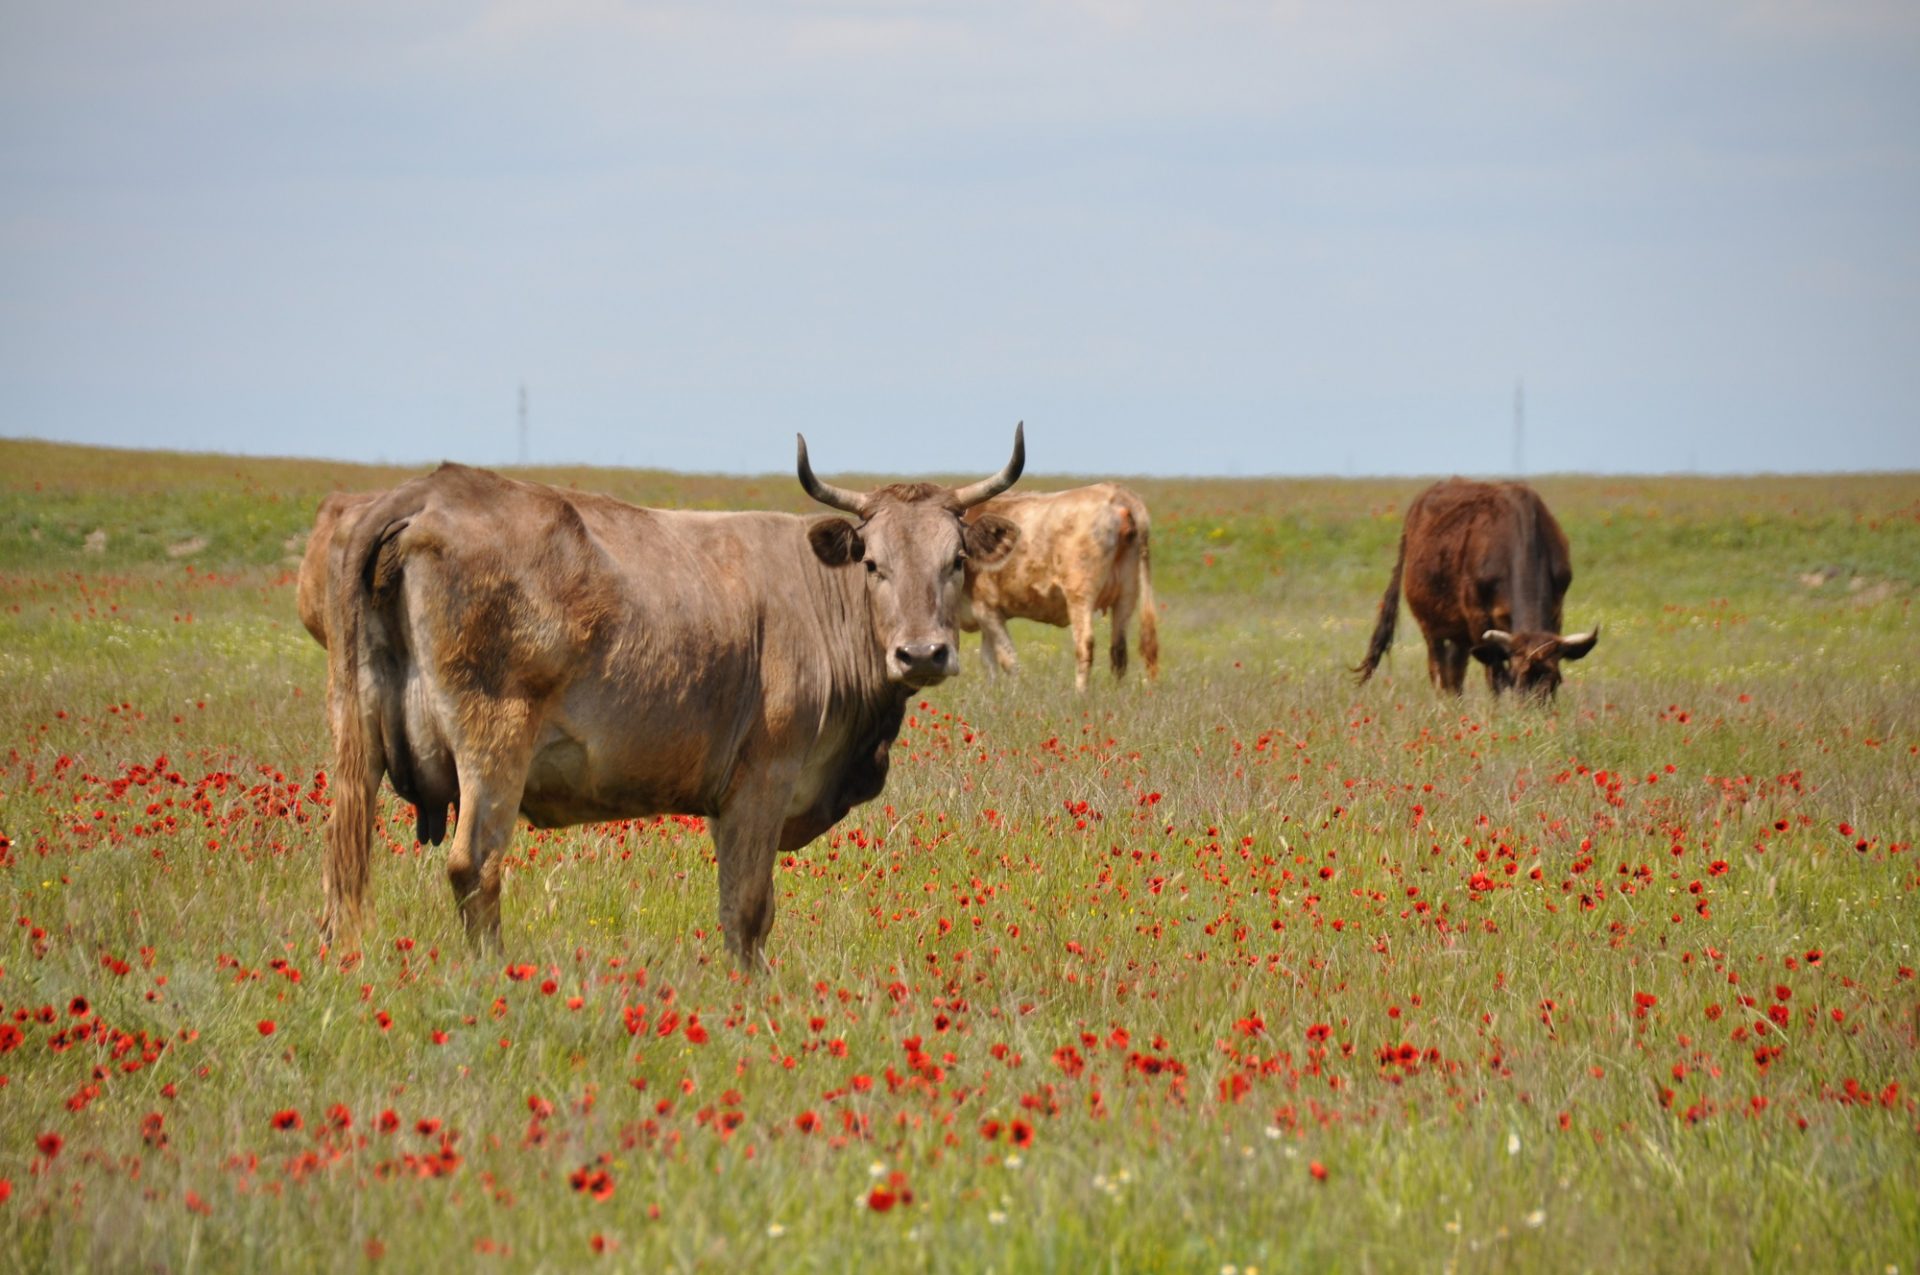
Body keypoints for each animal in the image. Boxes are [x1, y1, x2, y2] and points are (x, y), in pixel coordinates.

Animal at [299, 428, 1029, 967]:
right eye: (873, 563)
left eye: (956, 560)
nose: (922, 653)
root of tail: (425, 492)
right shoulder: (763, 780)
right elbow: (748, 910)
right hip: (494, 741)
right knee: (474, 865)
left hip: (352, 737)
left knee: (341, 865)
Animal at [956, 483, 1152, 691]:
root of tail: (1115, 492)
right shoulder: (984, 615)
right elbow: (989, 661)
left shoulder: (986, 608)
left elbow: (1008, 660)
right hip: (1127, 593)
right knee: (1119, 650)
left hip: (1080, 594)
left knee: (1085, 644)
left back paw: (1080, 694)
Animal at [1351, 476, 1605, 698]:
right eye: (1516, 678)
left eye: (1555, 680)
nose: (1533, 712)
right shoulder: (1478, 618)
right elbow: (1494, 675)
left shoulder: (1556, 611)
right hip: (1430, 625)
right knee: (1439, 670)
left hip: (1458, 633)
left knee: (1455, 672)